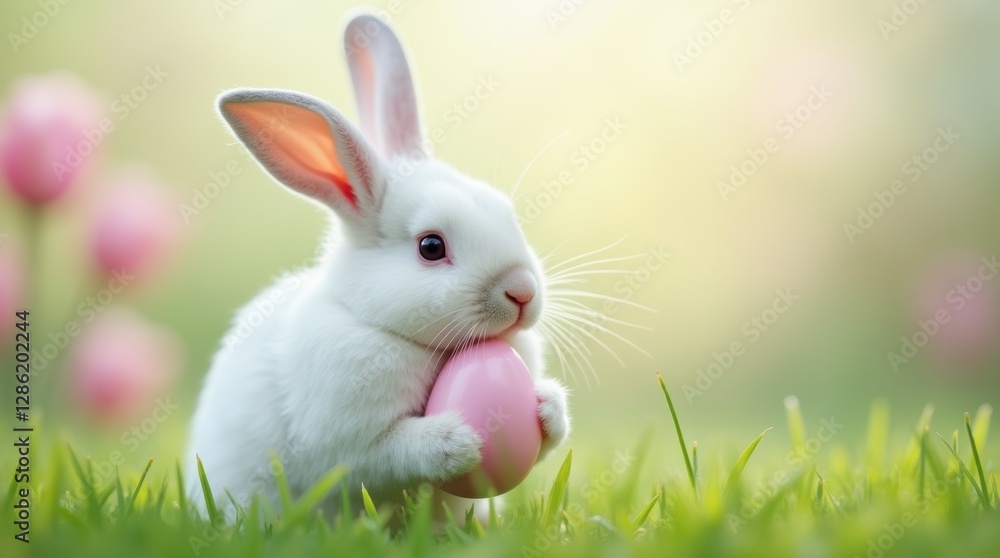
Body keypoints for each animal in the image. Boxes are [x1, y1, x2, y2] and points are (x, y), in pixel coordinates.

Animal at [184, 12, 570, 519]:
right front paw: (456, 441)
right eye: (431, 246)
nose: (522, 291)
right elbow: (389, 454)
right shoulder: (345, 443)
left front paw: (549, 406)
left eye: (506, 212)